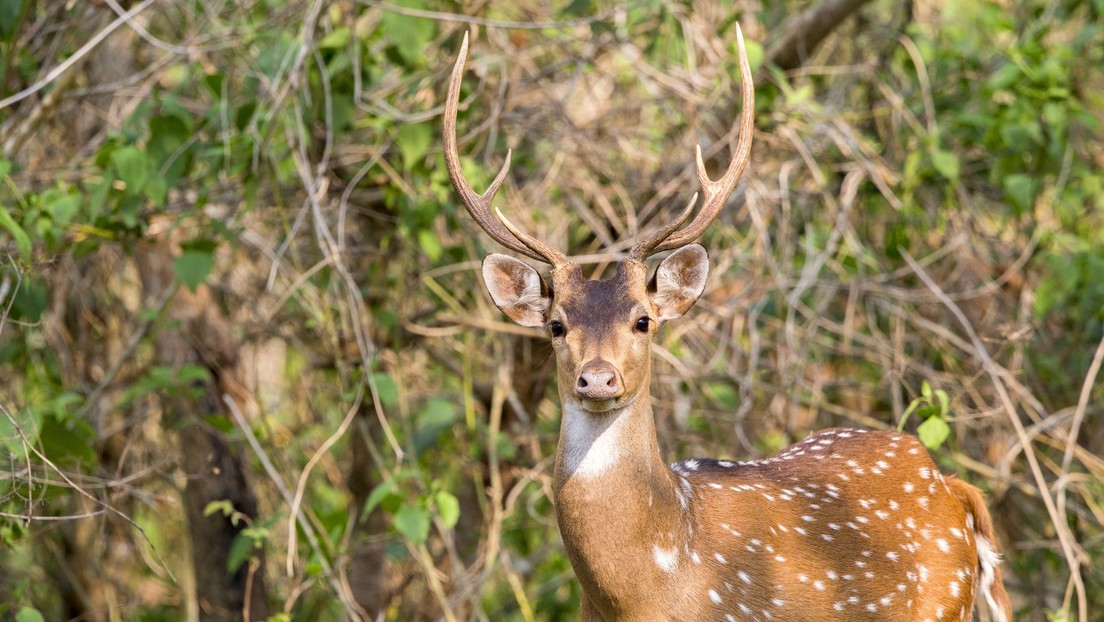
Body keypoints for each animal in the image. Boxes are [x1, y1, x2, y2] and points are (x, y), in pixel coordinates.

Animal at [443, 26, 1011, 618]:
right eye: (556, 326)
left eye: (643, 321)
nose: (597, 378)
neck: (648, 585)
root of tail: (951, 486)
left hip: (943, 600)